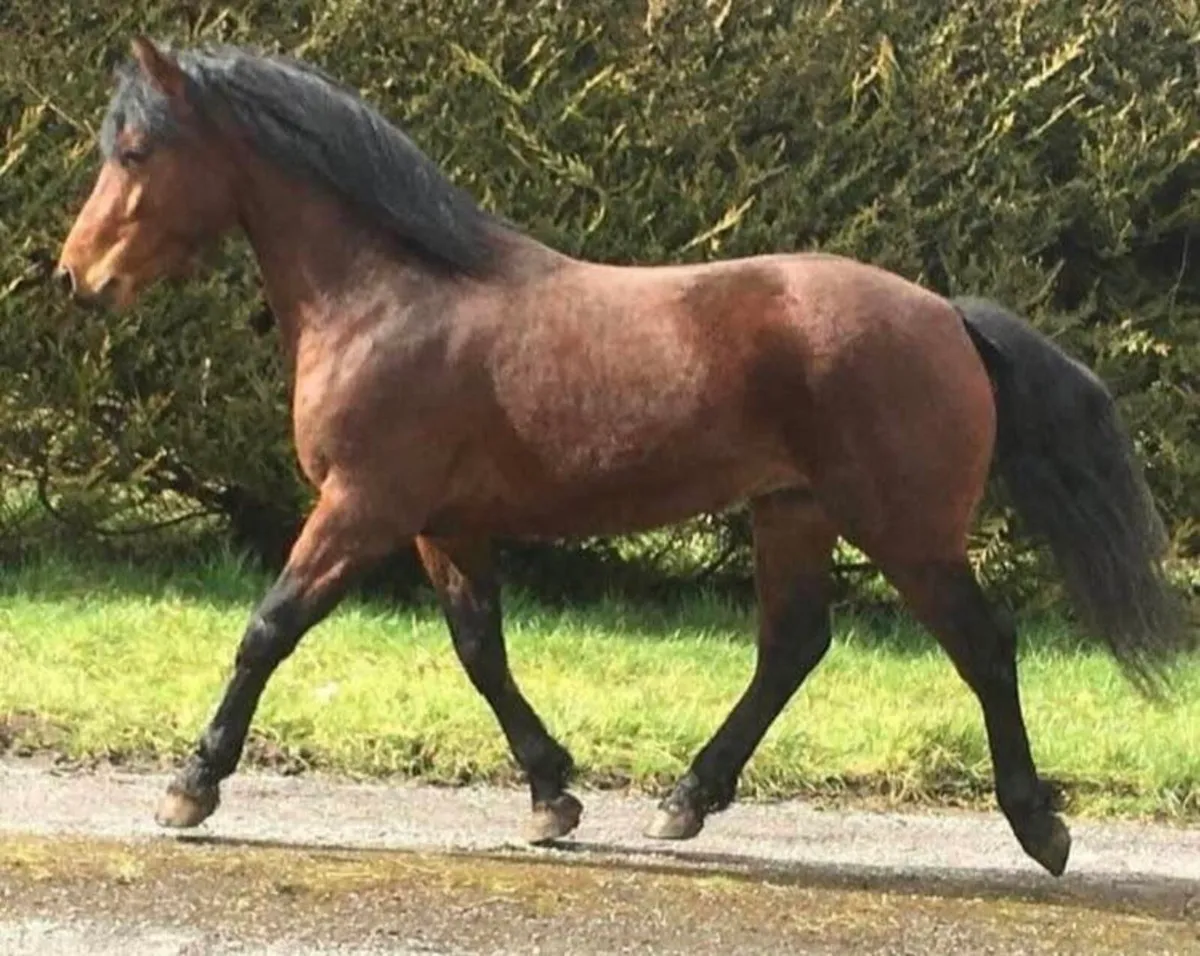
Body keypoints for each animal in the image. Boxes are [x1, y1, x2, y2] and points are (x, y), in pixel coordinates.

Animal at [55, 37, 1191, 877]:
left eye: (135, 151)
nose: (76, 278)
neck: (391, 294)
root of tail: (947, 316)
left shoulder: (362, 507)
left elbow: (268, 629)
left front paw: (191, 785)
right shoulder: (444, 524)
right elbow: (482, 651)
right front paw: (552, 793)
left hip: (905, 528)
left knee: (983, 647)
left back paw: (1040, 826)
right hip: (793, 510)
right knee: (792, 646)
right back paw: (685, 799)